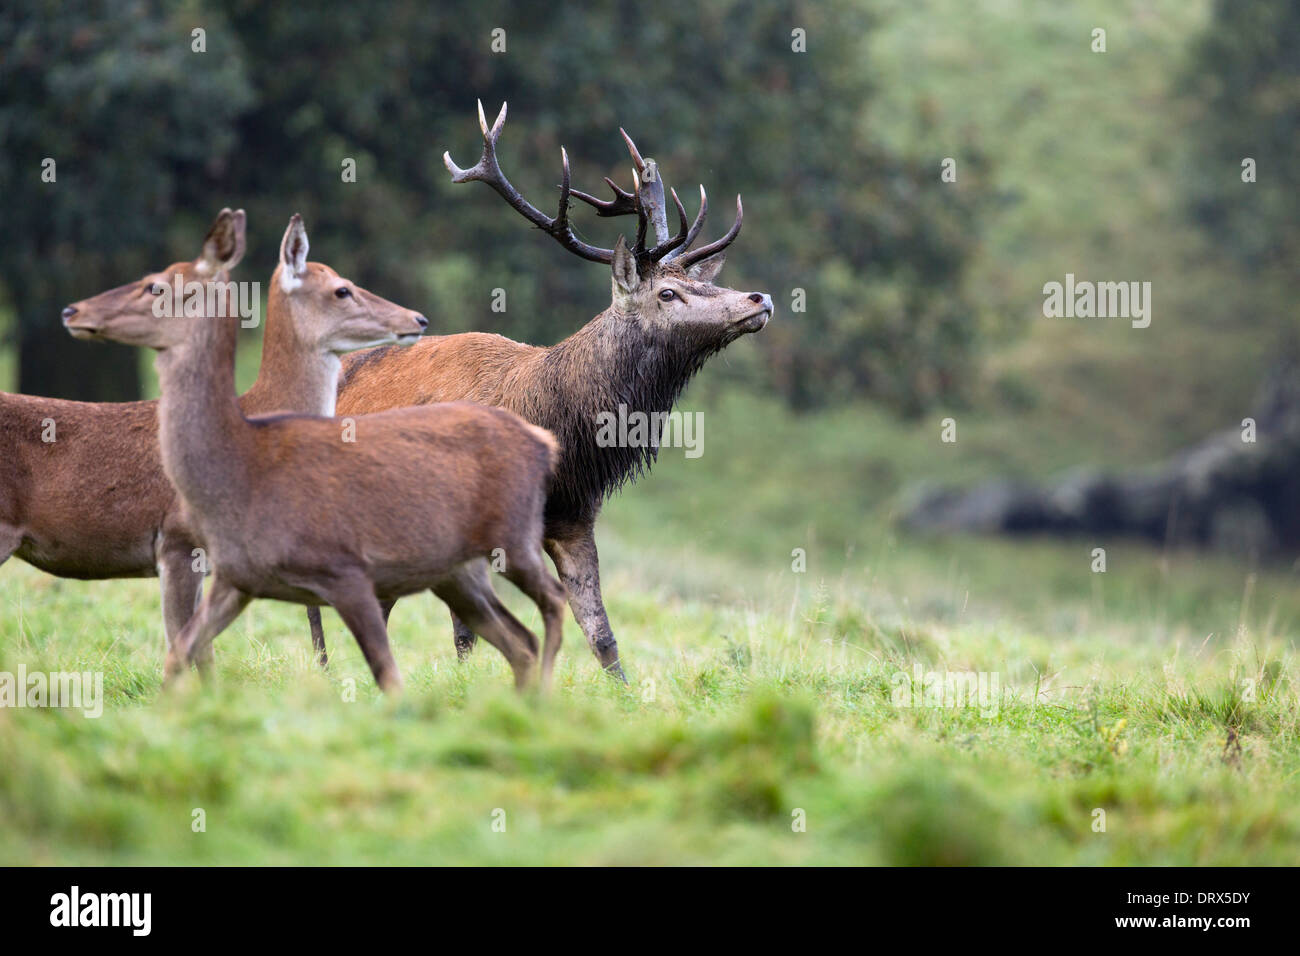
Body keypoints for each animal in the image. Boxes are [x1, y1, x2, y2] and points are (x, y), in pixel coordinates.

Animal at [312, 102, 774, 681]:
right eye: (668, 293)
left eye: (707, 283)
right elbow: (468, 632)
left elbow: (601, 635)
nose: (760, 298)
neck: (554, 429)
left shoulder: (574, 519)